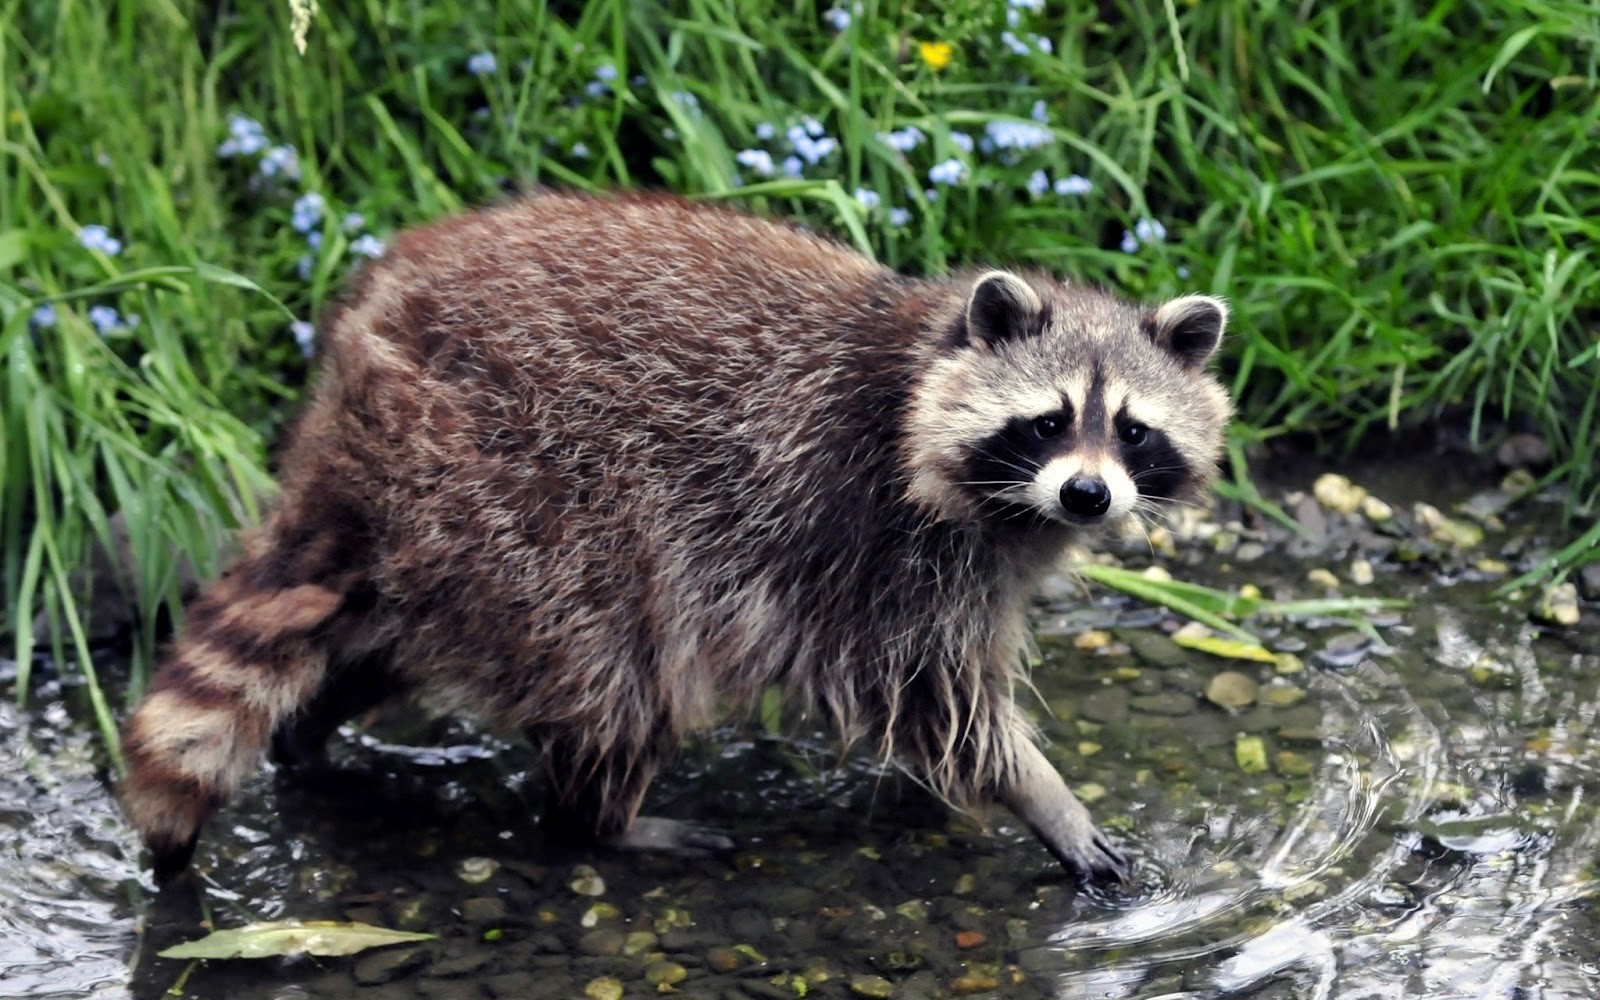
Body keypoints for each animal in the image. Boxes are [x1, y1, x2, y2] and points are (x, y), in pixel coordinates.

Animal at [118, 191, 1228, 883]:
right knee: (614, 663)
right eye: (1046, 422)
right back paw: (603, 817)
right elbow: (937, 699)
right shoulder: (875, 534)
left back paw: (318, 727)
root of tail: (355, 363)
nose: (1087, 495)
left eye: (1131, 430)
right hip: (522, 491)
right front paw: (1043, 798)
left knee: (385, 629)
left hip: (438, 522)